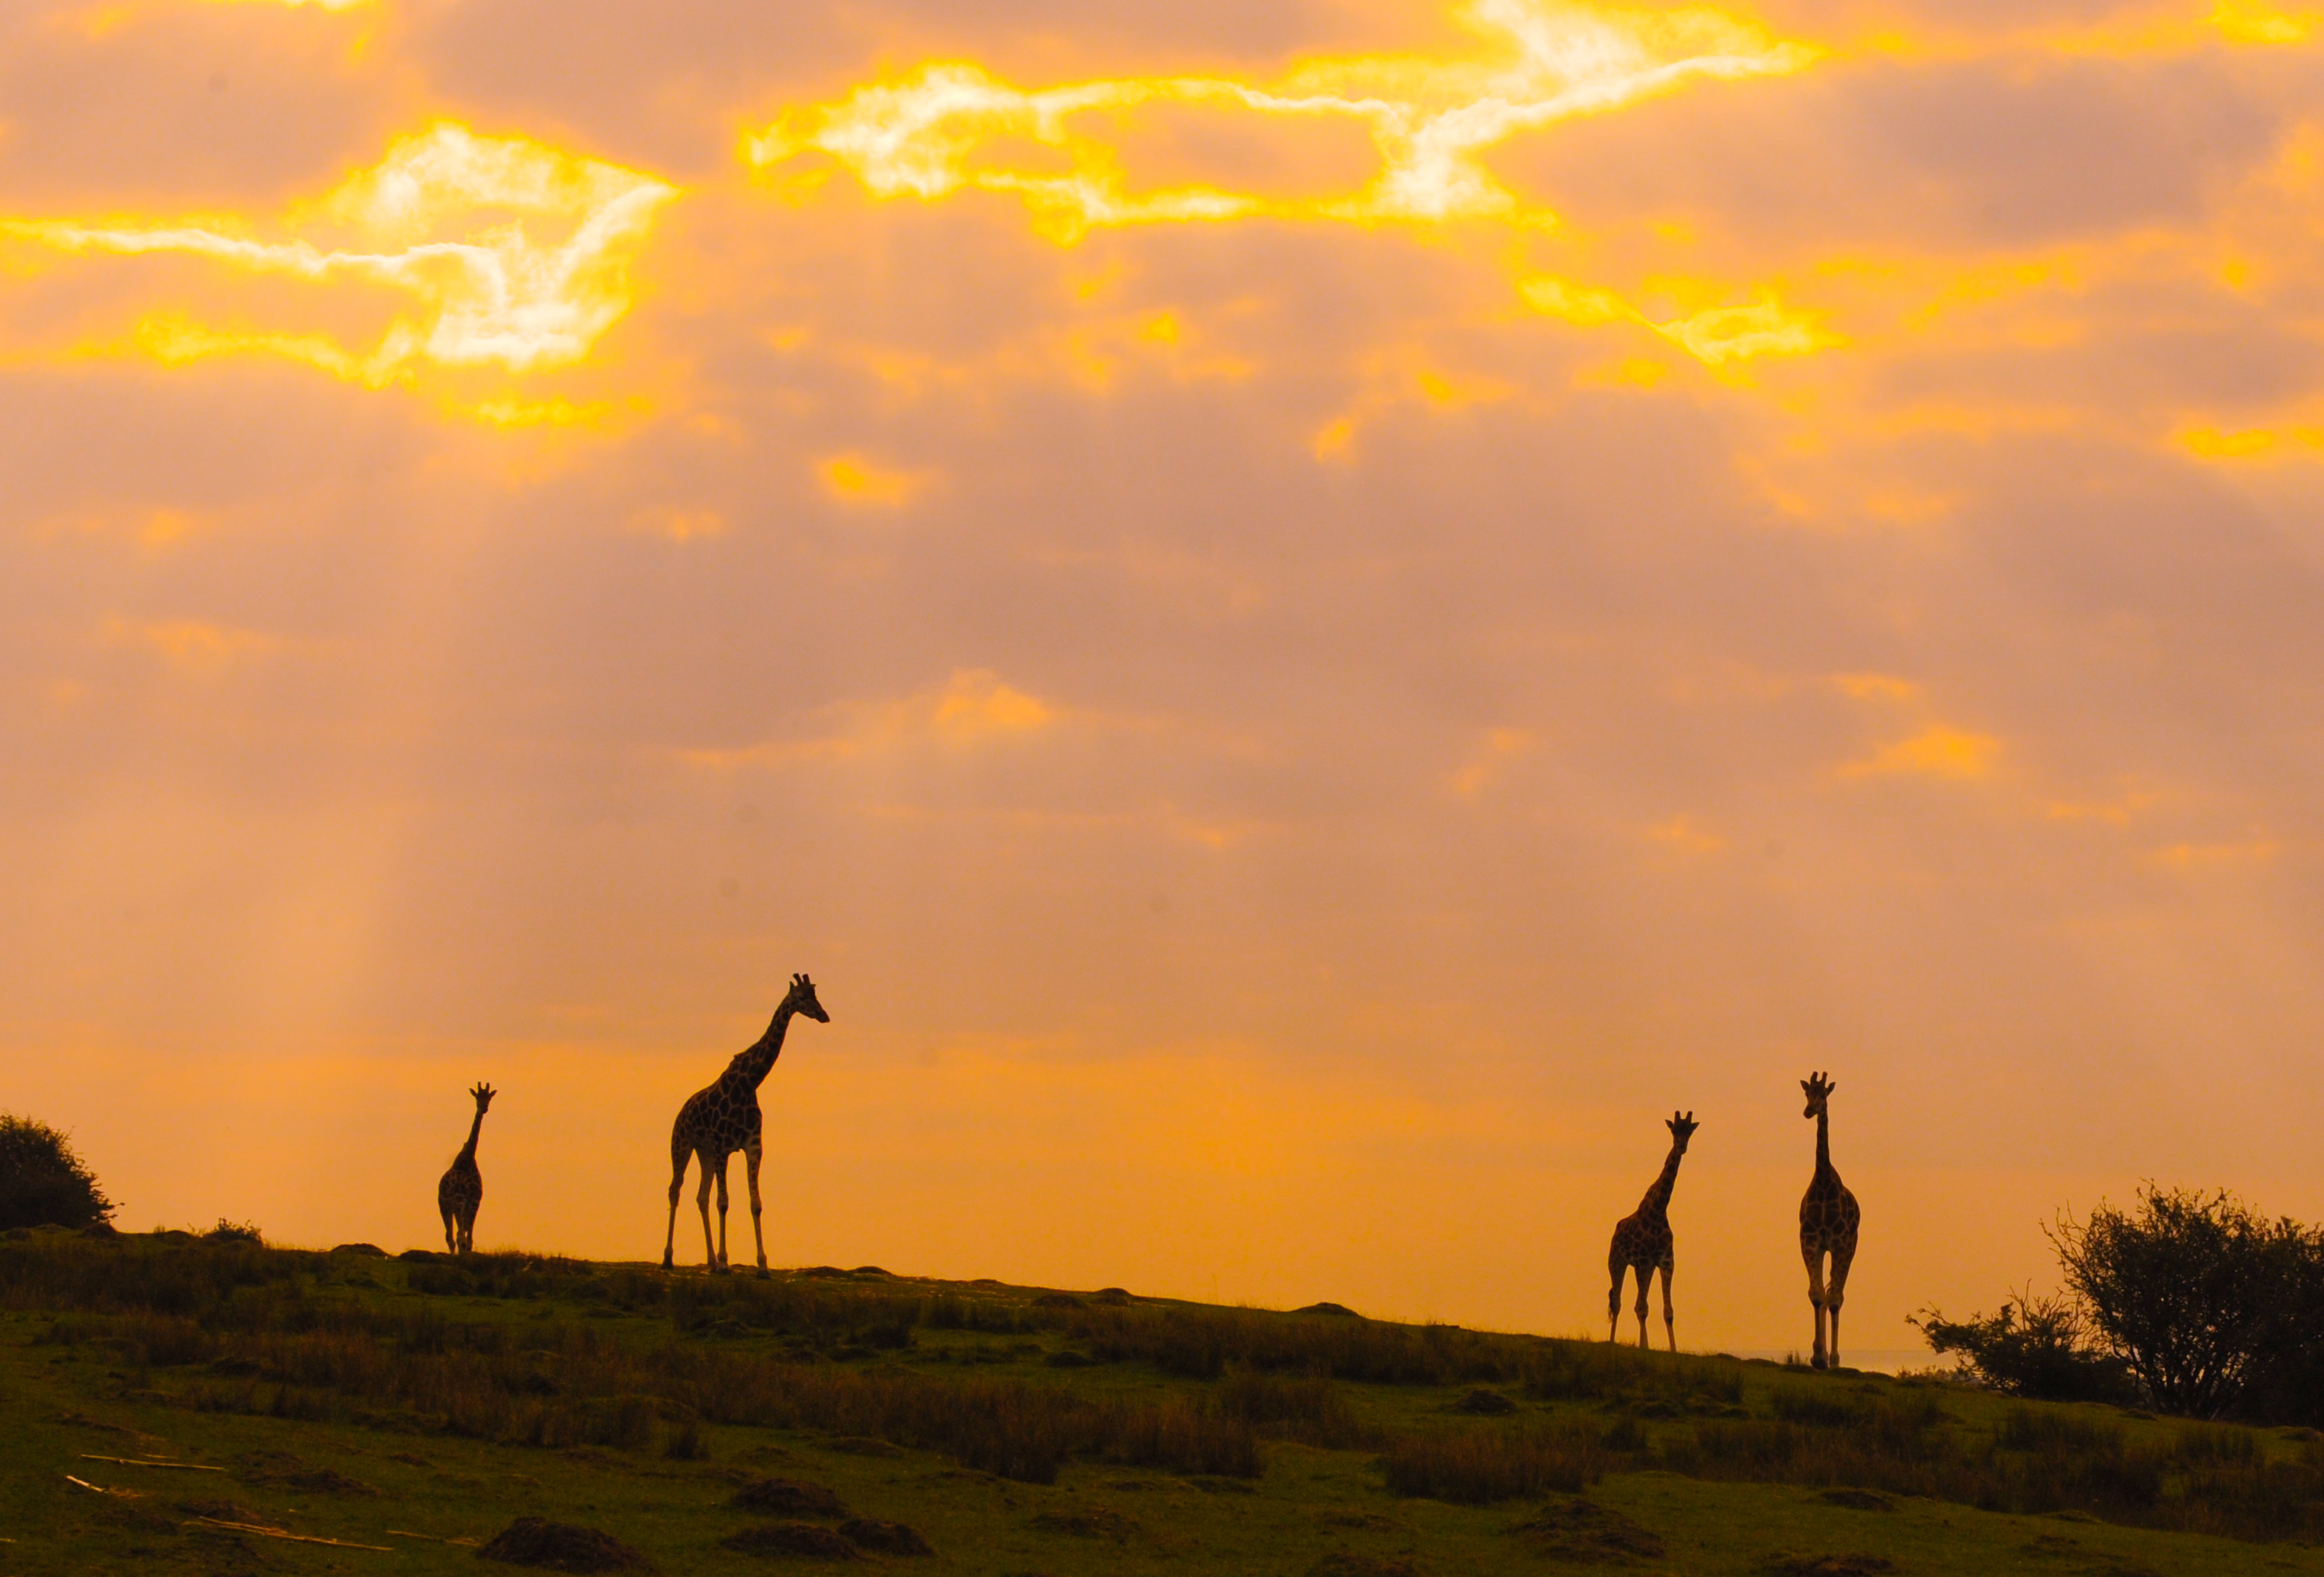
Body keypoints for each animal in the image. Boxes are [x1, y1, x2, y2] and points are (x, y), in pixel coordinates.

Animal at [436, 1082, 495, 1256]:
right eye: (477, 1097)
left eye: (489, 1098)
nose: (483, 1108)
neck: (468, 1159)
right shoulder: (459, 1199)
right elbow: (460, 1236)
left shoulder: (475, 1201)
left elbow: (469, 1239)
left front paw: (467, 1254)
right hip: (444, 1205)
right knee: (450, 1235)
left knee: (457, 1234)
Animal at [662, 974, 830, 1275]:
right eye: (801, 998)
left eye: (815, 994)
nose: (824, 1016)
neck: (748, 1083)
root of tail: (681, 1112)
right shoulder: (722, 1147)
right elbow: (724, 1202)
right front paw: (726, 1262)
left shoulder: (752, 1146)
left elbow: (755, 1203)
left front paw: (762, 1265)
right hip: (682, 1145)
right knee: (675, 1190)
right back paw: (669, 1258)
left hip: (704, 1152)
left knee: (701, 1196)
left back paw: (710, 1260)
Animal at [1606, 1111, 1698, 1350]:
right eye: (1673, 1130)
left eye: (1689, 1131)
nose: (1681, 1146)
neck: (1658, 1211)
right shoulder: (1643, 1261)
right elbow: (1641, 1308)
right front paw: (1644, 1347)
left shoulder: (1665, 1261)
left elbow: (1668, 1312)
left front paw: (1673, 1350)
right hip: (1616, 1262)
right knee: (1618, 1302)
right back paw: (1611, 1341)